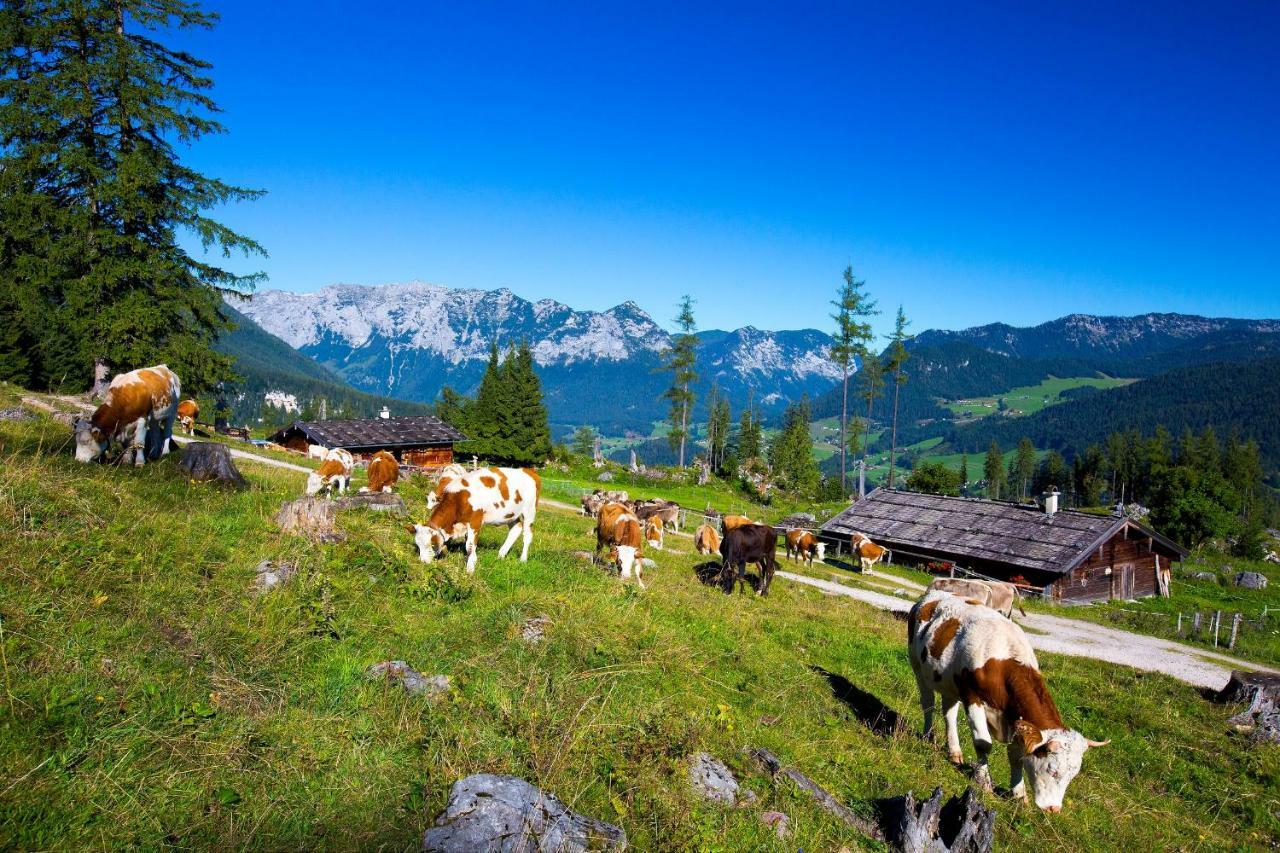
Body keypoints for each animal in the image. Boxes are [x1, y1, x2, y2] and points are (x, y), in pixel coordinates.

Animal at [409, 461, 540, 573]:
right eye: (418, 545)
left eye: (431, 544)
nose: (423, 562)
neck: (459, 498)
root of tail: (529, 471)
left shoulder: (475, 521)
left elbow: (470, 546)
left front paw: (470, 569)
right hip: (510, 514)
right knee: (516, 528)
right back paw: (500, 555)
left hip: (529, 511)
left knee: (527, 535)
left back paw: (523, 560)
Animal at [906, 589, 1105, 809]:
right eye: (1052, 769)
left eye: (1073, 775)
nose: (1053, 809)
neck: (1002, 660)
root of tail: (932, 594)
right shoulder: (972, 697)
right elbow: (983, 743)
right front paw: (984, 781)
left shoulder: (1015, 717)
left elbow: (1016, 756)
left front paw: (1019, 794)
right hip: (918, 667)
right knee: (928, 704)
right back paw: (928, 735)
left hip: (950, 683)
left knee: (949, 713)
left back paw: (955, 753)